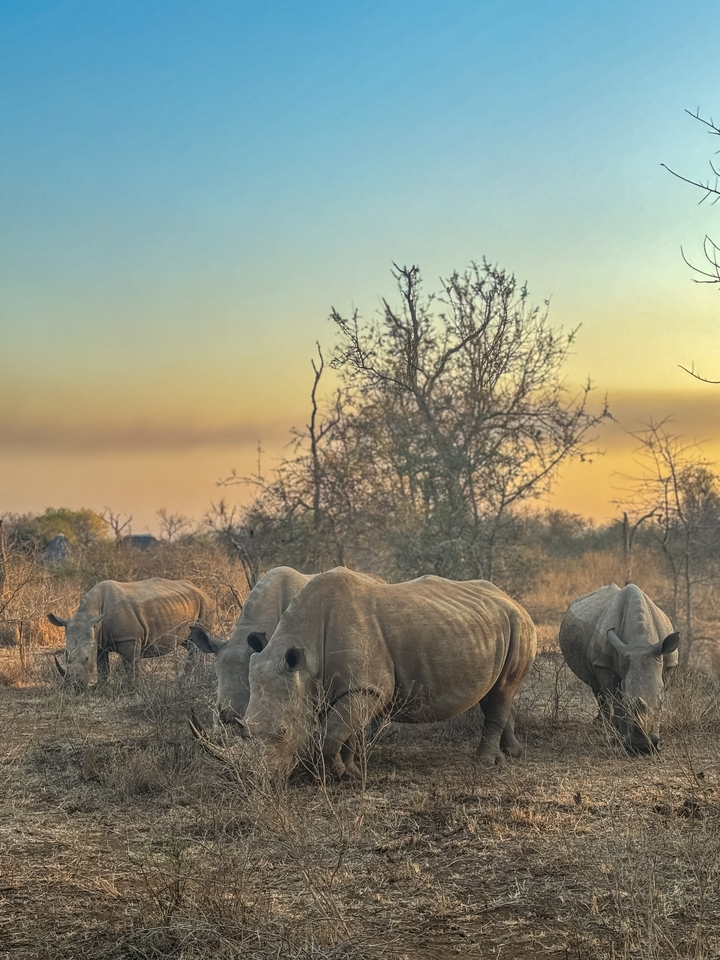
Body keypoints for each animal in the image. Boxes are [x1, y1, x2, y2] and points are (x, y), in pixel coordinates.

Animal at [48, 578, 215, 690]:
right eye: (66, 657)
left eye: (87, 658)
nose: (74, 687)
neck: (90, 616)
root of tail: (202, 590)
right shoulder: (99, 642)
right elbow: (103, 667)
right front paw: (99, 687)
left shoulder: (128, 638)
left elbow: (130, 663)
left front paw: (132, 688)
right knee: (189, 642)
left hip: (206, 604)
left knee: (196, 643)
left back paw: (189, 679)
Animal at [234, 567, 537, 779]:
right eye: (244, 730)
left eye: (283, 731)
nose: (259, 778)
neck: (307, 661)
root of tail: (513, 600)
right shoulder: (353, 689)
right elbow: (349, 733)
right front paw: (352, 770)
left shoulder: (367, 688)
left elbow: (333, 735)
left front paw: (341, 774)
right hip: (493, 625)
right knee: (497, 692)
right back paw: (511, 754)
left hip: (520, 624)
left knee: (502, 690)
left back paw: (484, 762)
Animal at [558, 583, 680, 753]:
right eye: (627, 702)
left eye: (661, 705)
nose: (641, 747)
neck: (640, 642)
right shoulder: (604, 663)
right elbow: (616, 698)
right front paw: (621, 735)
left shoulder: (668, 665)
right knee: (598, 688)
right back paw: (603, 724)